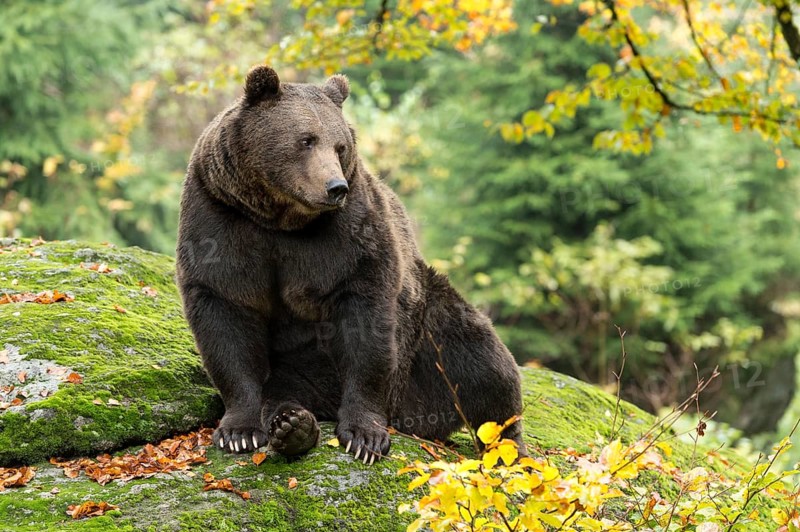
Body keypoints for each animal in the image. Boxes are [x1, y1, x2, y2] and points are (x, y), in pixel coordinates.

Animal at [176, 65, 525, 464]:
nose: (334, 186)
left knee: (482, 362)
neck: (281, 218)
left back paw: (508, 446)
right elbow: (226, 314)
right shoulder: (220, 215)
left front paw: (364, 436)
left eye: (340, 146)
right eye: (306, 140)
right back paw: (293, 426)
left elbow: (365, 323)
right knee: (283, 390)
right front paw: (238, 432)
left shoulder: (350, 233)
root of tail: (410, 415)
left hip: (427, 325)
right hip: (301, 366)